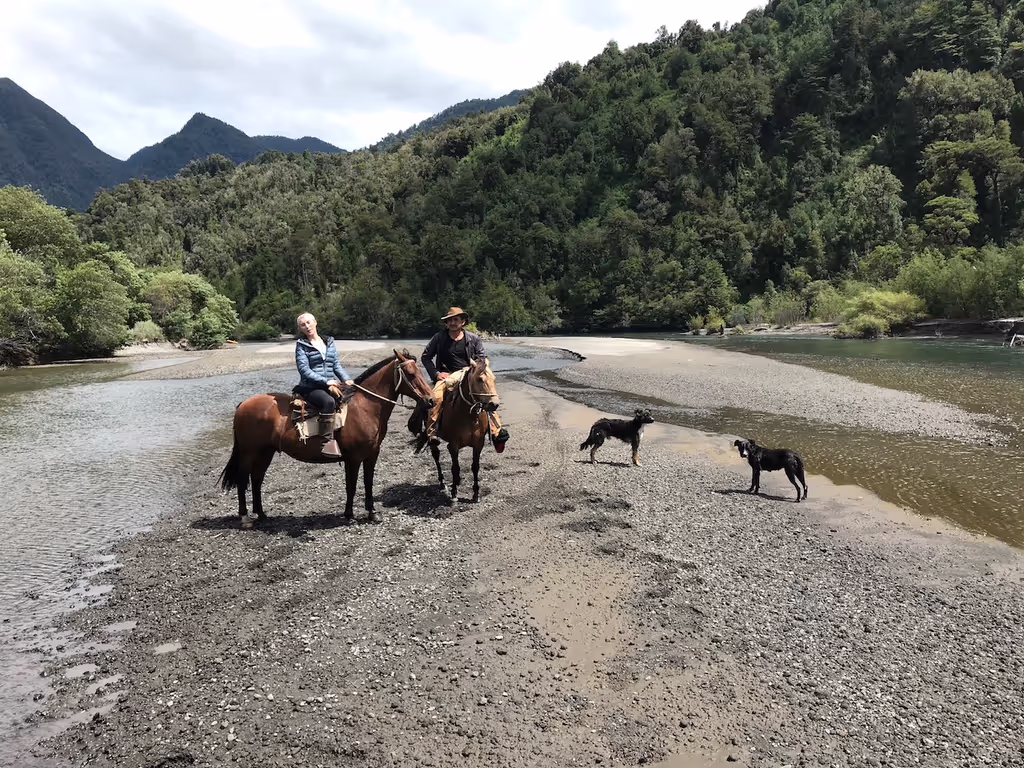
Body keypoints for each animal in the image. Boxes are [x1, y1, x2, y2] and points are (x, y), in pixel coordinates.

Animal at [218, 348, 435, 524]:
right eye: (410, 373)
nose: (431, 400)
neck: (365, 407)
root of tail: (243, 405)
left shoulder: (372, 455)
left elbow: (368, 482)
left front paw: (372, 513)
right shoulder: (354, 458)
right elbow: (351, 486)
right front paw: (349, 515)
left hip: (265, 452)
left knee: (256, 478)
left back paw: (262, 514)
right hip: (249, 452)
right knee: (243, 478)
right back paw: (245, 517)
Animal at [423, 357, 509, 503]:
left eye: (494, 378)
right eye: (479, 379)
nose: (494, 404)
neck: (469, 415)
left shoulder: (478, 443)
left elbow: (475, 467)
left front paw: (476, 494)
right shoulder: (453, 445)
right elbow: (455, 467)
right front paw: (454, 493)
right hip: (432, 437)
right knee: (436, 455)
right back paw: (443, 483)